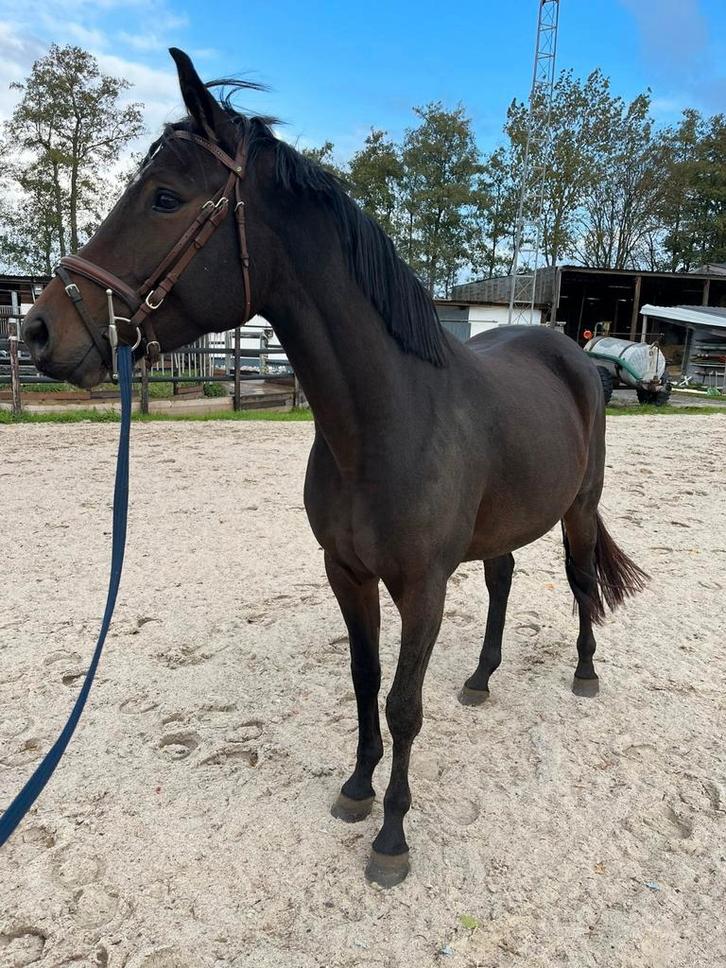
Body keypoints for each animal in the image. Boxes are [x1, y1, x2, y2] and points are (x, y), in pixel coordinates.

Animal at [22, 48, 647, 888]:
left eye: (164, 198)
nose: (38, 330)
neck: (386, 424)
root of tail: (575, 355)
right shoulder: (346, 574)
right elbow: (362, 681)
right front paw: (356, 789)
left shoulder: (421, 587)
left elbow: (403, 704)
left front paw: (392, 837)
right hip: (505, 527)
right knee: (503, 580)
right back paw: (481, 679)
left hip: (578, 511)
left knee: (580, 583)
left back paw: (584, 674)